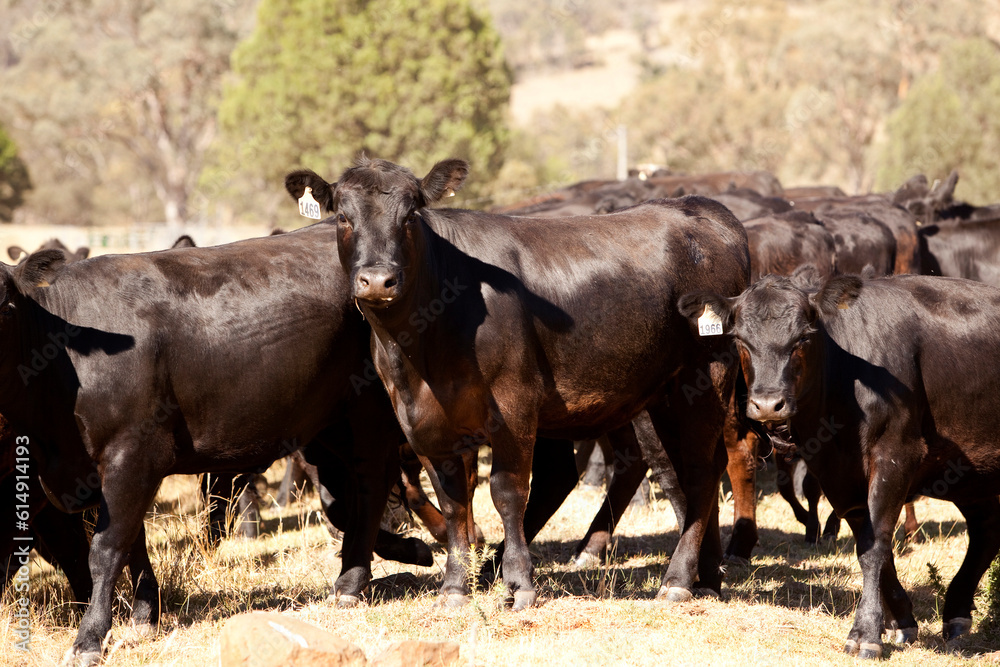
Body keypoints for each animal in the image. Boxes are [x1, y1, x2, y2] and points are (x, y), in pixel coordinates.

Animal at [0, 227, 414, 664]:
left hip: (369, 406)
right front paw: (145, 615)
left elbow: (107, 549)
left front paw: (90, 638)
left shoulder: (132, 454)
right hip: (329, 422)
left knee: (371, 481)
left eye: (6, 307)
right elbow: (133, 541)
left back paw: (352, 582)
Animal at [284, 157, 752, 612]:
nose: (378, 280)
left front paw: (520, 583)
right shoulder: (420, 420)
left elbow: (507, 492)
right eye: (343, 217)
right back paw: (706, 578)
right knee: (683, 468)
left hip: (706, 375)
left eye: (411, 215)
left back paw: (678, 580)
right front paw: (455, 588)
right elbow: (454, 501)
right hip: (664, 393)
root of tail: (702, 208)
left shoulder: (513, 407)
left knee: (701, 471)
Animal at [680, 270, 1000, 656]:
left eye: (804, 337)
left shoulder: (896, 455)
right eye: (740, 339)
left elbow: (874, 547)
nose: (768, 405)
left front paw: (865, 634)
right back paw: (956, 613)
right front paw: (901, 620)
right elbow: (873, 547)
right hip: (969, 473)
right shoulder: (836, 473)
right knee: (987, 529)